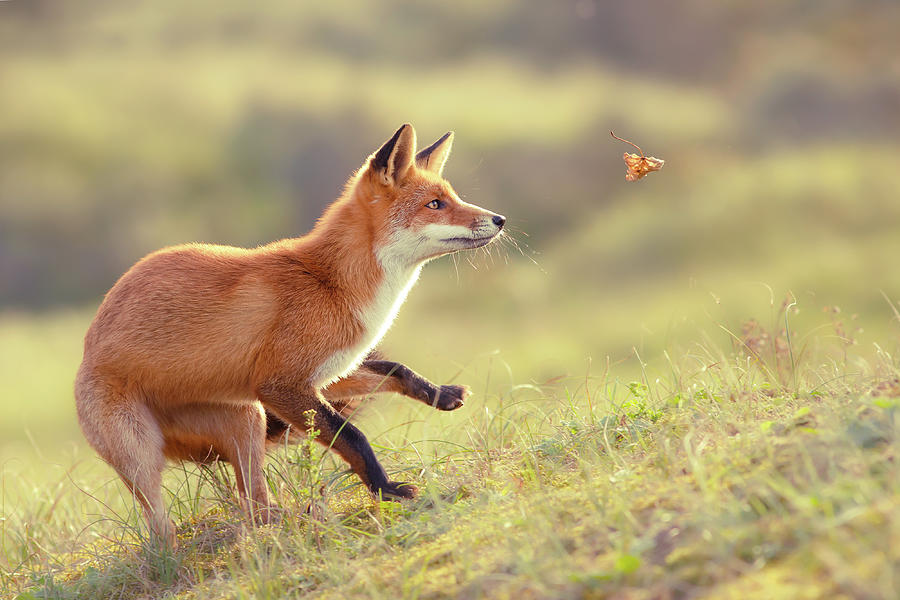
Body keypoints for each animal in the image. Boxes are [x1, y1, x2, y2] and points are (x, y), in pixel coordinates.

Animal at [73, 124, 502, 548]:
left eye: (453, 197)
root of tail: (86, 351)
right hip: (145, 454)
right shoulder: (279, 384)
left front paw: (440, 394)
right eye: (435, 204)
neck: (332, 284)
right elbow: (354, 436)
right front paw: (386, 490)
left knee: (255, 507)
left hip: (248, 420)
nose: (499, 219)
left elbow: (396, 370)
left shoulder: (321, 375)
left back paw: (287, 524)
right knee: (163, 529)